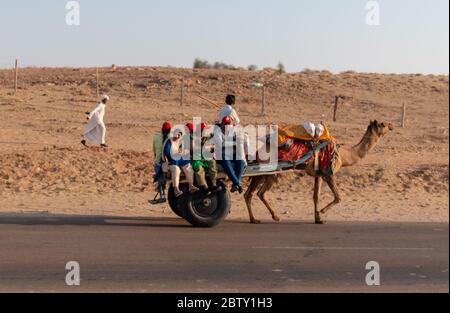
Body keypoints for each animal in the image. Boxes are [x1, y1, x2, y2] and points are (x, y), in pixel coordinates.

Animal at [243, 119, 394, 224]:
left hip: (263, 171)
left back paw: (254, 219)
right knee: (260, 192)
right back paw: (275, 217)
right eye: (383, 124)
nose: (392, 125)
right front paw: (322, 212)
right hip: (270, 170)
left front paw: (318, 219)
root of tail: (259, 150)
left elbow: (316, 196)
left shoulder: (319, 175)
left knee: (249, 193)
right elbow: (339, 197)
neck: (345, 154)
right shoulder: (328, 173)